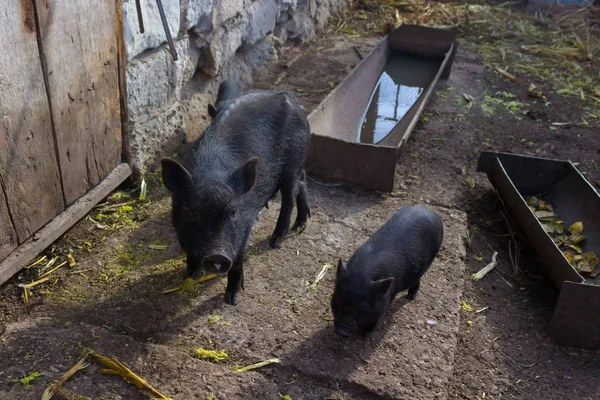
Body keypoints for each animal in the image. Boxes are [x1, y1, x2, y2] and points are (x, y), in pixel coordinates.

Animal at [161, 89, 310, 304]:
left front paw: (231, 300)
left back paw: (275, 242)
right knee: (302, 183)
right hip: (297, 168)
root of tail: (290, 97)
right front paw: (192, 275)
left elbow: (238, 258)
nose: (218, 255)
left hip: (292, 163)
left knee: (289, 199)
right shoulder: (178, 223)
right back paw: (299, 226)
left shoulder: (245, 224)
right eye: (193, 213)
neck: (212, 176)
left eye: (233, 213)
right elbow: (187, 246)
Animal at [330, 206, 442, 338]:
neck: (363, 272)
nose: (340, 331)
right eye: (336, 302)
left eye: (361, 308)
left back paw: (411, 297)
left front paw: (365, 335)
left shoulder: (388, 296)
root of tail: (430, 211)